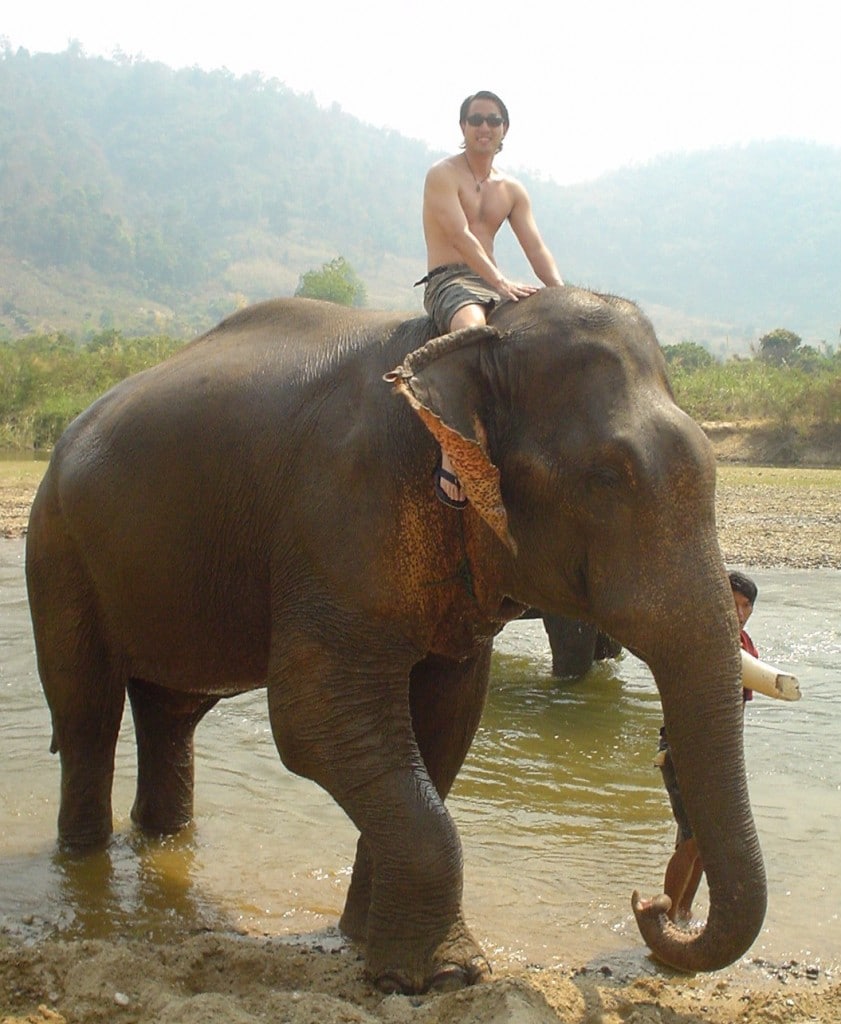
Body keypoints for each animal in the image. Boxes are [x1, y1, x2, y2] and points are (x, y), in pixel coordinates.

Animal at [25, 287, 766, 992]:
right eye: (608, 477)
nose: (649, 907)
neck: (463, 353)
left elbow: (445, 721)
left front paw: (363, 943)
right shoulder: (339, 514)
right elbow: (314, 719)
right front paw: (440, 976)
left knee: (171, 712)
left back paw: (163, 840)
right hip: (57, 545)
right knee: (87, 714)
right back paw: (84, 862)